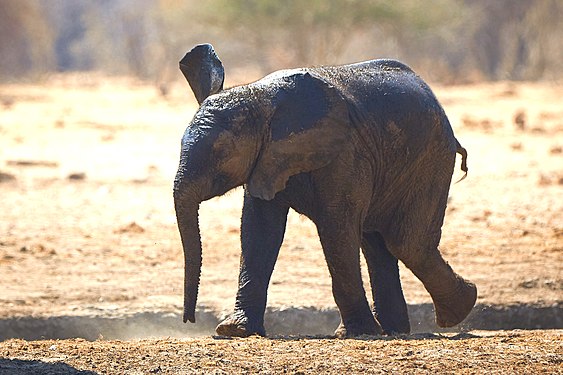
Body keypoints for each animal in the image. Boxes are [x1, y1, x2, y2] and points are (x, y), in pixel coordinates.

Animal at [174, 43, 478, 338]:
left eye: (220, 152)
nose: (189, 320)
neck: (259, 98)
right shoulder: (264, 160)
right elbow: (259, 231)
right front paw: (234, 330)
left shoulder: (345, 154)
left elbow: (335, 228)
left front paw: (357, 332)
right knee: (377, 244)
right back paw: (396, 328)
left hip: (431, 160)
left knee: (406, 243)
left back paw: (457, 311)